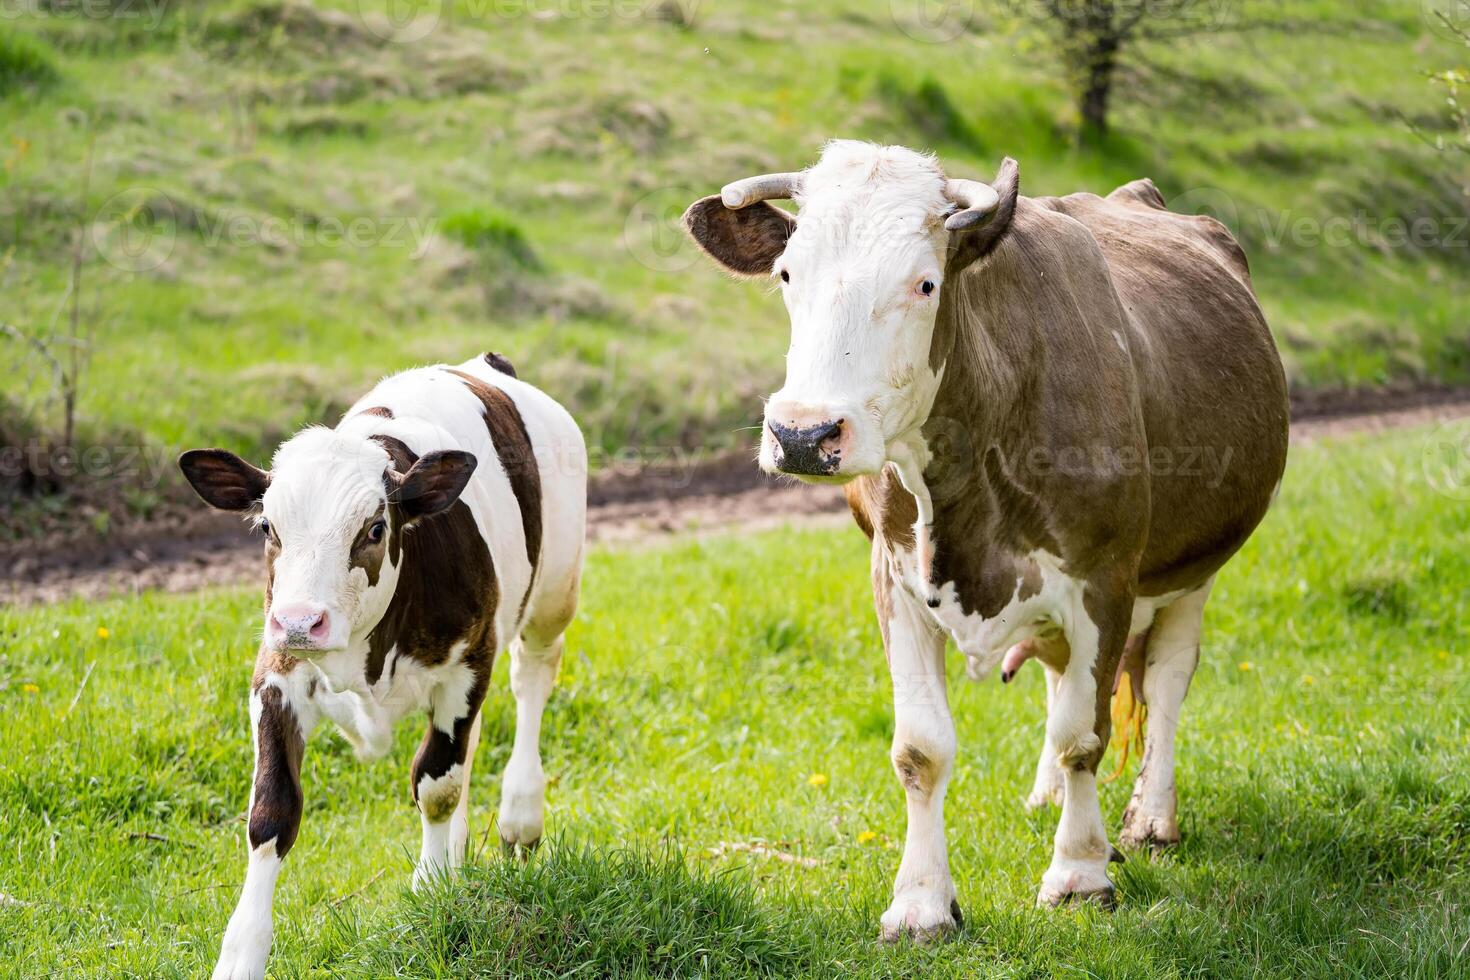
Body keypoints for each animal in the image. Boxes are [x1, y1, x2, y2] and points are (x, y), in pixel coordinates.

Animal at [186, 354, 588, 980]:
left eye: (375, 529)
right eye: (267, 528)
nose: (301, 621)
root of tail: (485, 364)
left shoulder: (469, 662)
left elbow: (436, 784)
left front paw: (431, 889)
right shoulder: (276, 672)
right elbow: (271, 810)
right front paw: (241, 954)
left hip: (554, 594)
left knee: (532, 680)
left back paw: (520, 814)